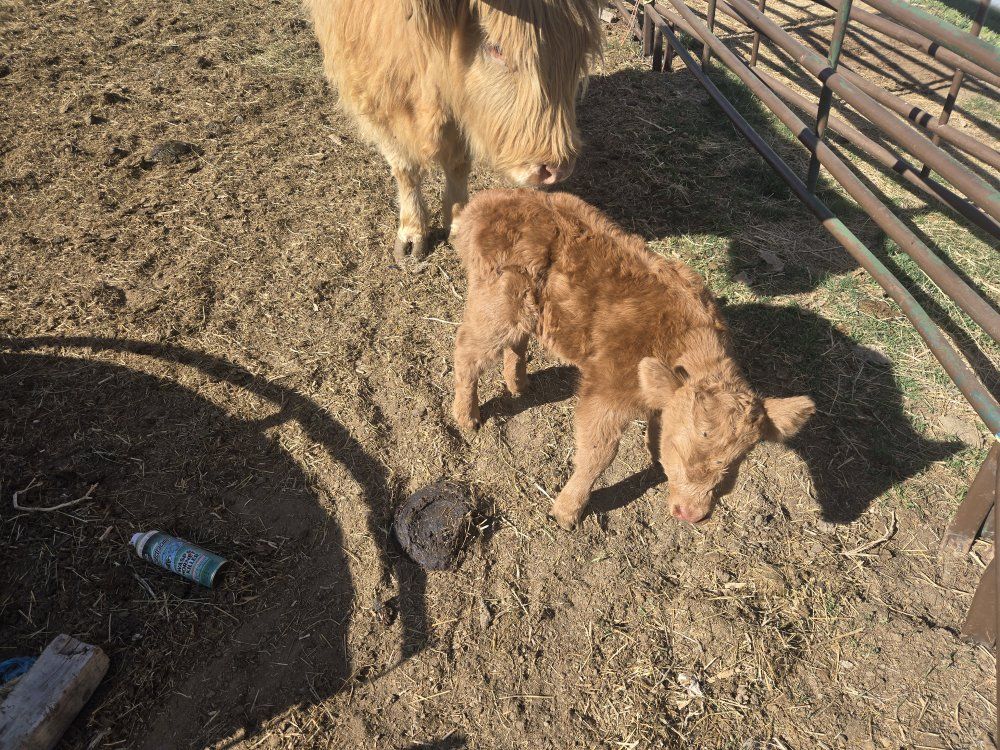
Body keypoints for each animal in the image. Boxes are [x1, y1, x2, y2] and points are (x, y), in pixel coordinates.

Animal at [307, 0, 602, 266]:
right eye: (496, 48)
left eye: (577, 52)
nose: (556, 170)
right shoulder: (377, 100)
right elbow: (405, 169)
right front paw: (412, 234)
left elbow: (458, 165)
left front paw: (459, 223)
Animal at [450, 189, 816, 529]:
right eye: (682, 449)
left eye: (732, 462)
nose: (691, 514)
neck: (682, 338)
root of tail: (488, 200)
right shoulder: (607, 390)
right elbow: (598, 453)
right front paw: (567, 512)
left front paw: (654, 454)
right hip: (495, 304)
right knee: (467, 353)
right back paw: (468, 417)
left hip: (523, 310)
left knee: (516, 341)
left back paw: (519, 384)